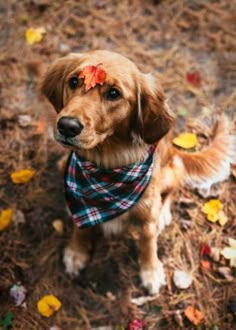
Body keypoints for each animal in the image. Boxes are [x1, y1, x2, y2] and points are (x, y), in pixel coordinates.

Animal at [40, 49, 234, 294]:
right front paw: (77, 252)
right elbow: (80, 226)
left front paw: (150, 271)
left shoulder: (146, 216)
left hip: (171, 172)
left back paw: (164, 214)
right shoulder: (78, 199)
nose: (67, 126)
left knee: (173, 190)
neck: (106, 167)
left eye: (113, 94)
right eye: (73, 81)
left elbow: (148, 243)